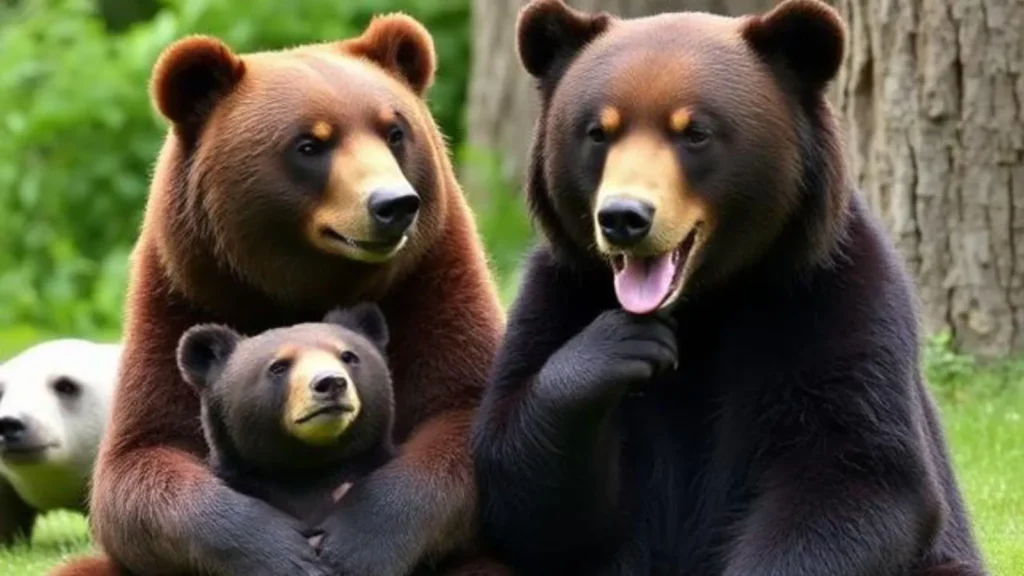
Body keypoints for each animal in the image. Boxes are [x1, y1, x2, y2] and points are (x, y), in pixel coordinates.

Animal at [470, 1, 985, 575]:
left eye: (694, 132)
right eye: (598, 132)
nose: (624, 217)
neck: (708, 303)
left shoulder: (835, 296)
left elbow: (855, 471)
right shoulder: (560, 294)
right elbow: (533, 493)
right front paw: (619, 347)